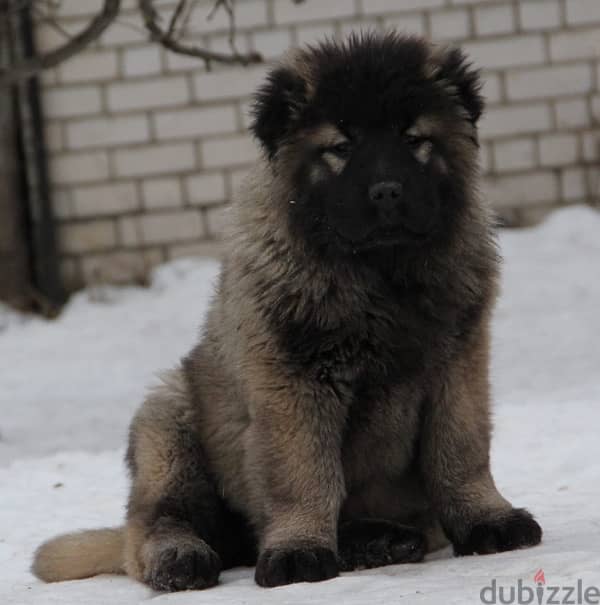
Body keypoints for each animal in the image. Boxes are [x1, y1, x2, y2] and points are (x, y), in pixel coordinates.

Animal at [32, 33, 544, 588]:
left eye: (414, 139)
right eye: (341, 147)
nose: (387, 191)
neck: (379, 277)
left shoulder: (458, 364)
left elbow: (460, 452)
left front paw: (488, 519)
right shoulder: (293, 379)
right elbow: (303, 473)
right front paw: (299, 549)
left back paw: (379, 540)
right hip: (168, 424)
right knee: (155, 523)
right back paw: (182, 558)